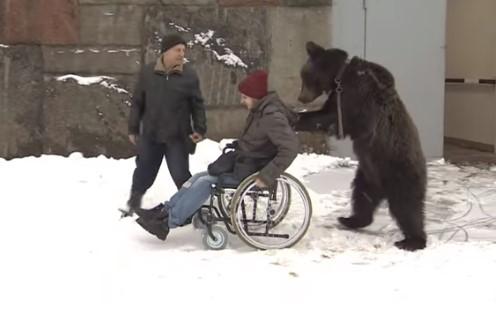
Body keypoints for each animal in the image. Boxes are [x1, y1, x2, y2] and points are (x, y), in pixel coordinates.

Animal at [296, 41, 428, 251]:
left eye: (305, 76)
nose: (301, 98)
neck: (339, 78)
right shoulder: (338, 97)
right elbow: (327, 113)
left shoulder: (357, 98)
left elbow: (332, 118)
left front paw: (297, 118)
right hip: (367, 174)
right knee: (361, 197)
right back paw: (349, 219)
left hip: (401, 172)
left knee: (406, 207)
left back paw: (412, 241)